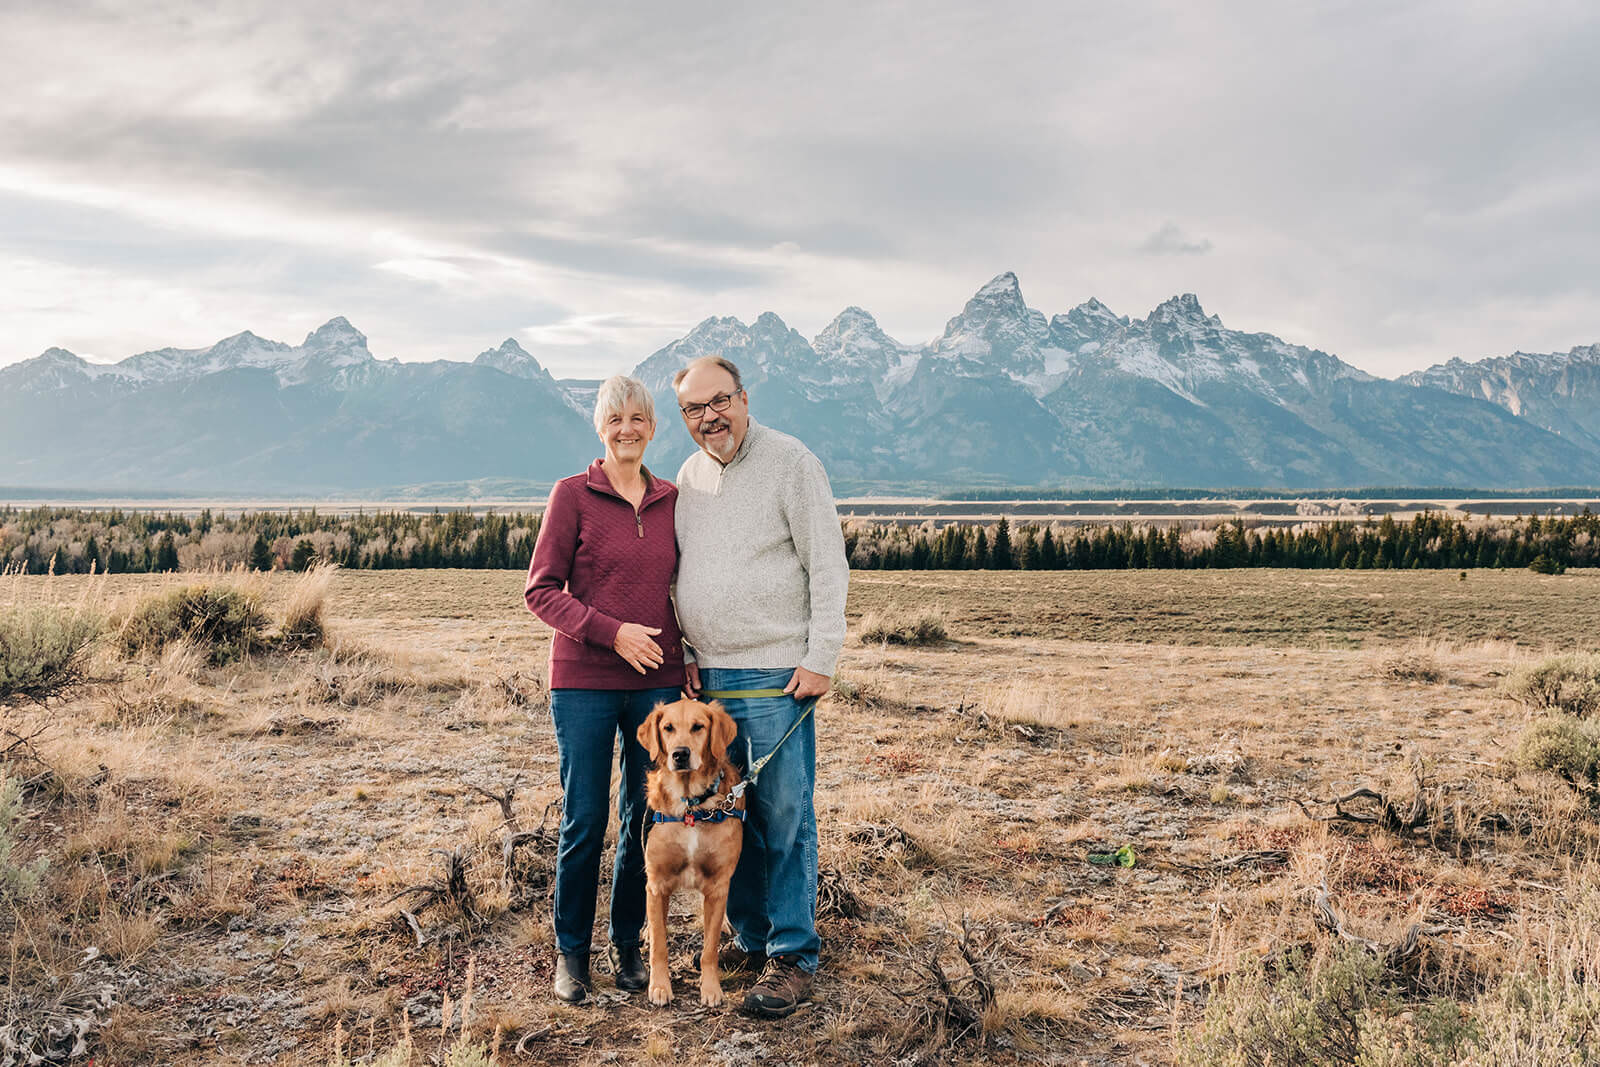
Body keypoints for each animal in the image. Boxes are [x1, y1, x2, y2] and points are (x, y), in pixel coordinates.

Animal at [633, 697, 745, 1004]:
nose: (680, 754)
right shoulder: (657, 883)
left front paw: (711, 988)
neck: (691, 806)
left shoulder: (718, 886)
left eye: (698, 727)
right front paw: (660, 986)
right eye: (668, 728)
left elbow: (709, 949)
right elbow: (660, 943)